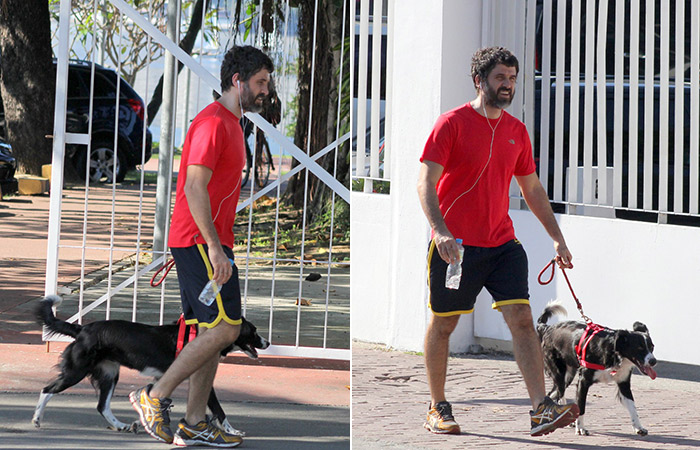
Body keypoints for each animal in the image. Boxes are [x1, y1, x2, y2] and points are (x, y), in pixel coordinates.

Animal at [32, 296, 268, 436]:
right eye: (254, 331)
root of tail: (81, 329)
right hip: (77, 371)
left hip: (110, 374)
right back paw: (36, 419)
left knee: (102, 406)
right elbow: (219, 410)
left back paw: (121, 425)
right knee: (47, 389)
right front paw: (233, 431)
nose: (267, 343)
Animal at [536, 302, 656, 436]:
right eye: (639, 348)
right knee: (556, 394)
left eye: (652, 347)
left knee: (554, 394)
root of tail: (548, 328)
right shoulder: (583, 381)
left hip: (568, 375)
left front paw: (638, 427)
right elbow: (581, 406)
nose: (653, 361)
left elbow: (632, 407)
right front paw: (580, 428)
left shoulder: (623, 382)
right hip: (559, 374)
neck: (613, 352)